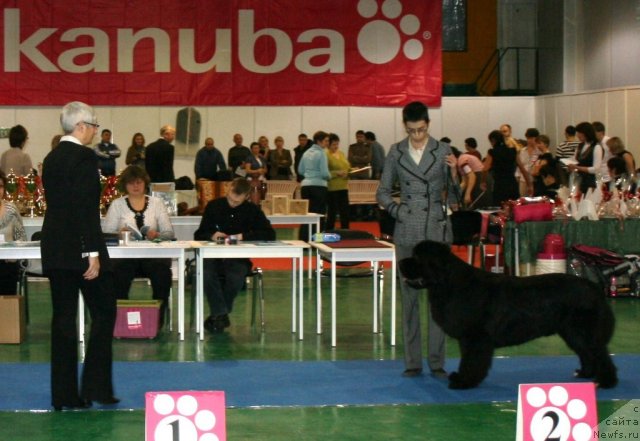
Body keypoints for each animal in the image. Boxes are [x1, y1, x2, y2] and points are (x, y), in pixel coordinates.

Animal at [400, 241, 616, 388]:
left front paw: (463, 381)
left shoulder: (475, 337)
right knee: (586, 352)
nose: (401, 262)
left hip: (584, 330)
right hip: (572, 332)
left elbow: (471, 361)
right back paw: (585, 374)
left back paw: (606, 382)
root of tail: (594, 287)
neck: (448, 282)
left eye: (417, 258)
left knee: (599, 353)